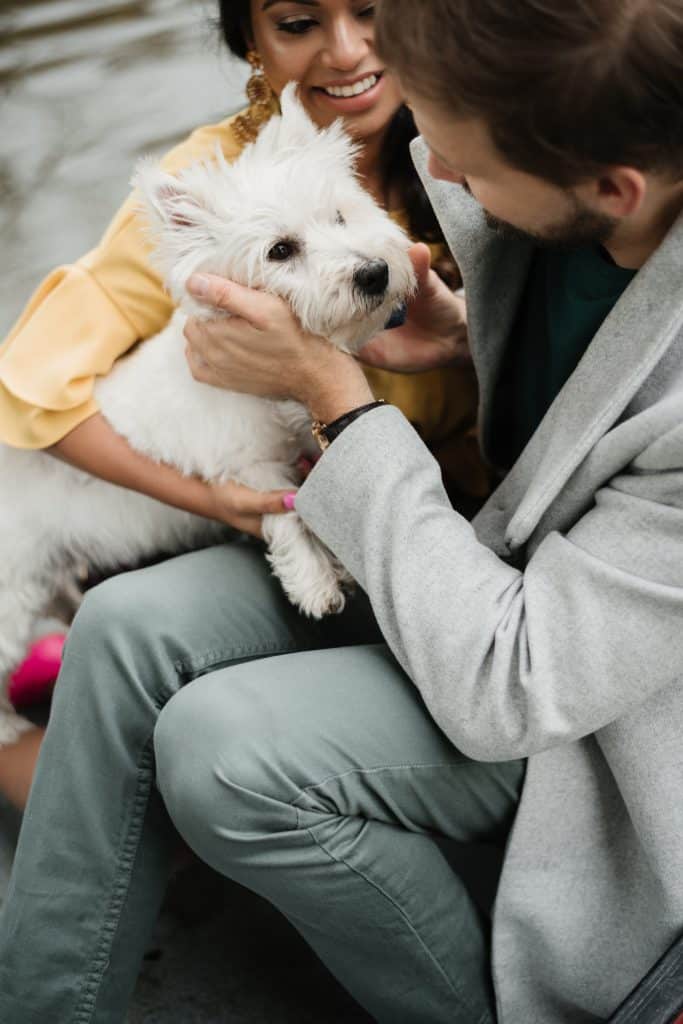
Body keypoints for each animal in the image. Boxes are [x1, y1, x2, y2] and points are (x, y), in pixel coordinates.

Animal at [0, 83, 417, 745]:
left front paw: (336, 567)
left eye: (339, 216)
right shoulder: (245, 469)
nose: (374, 274)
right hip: (12, 591)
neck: (272, 393)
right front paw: (316, 582)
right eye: (280, 251)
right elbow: (287, 515)